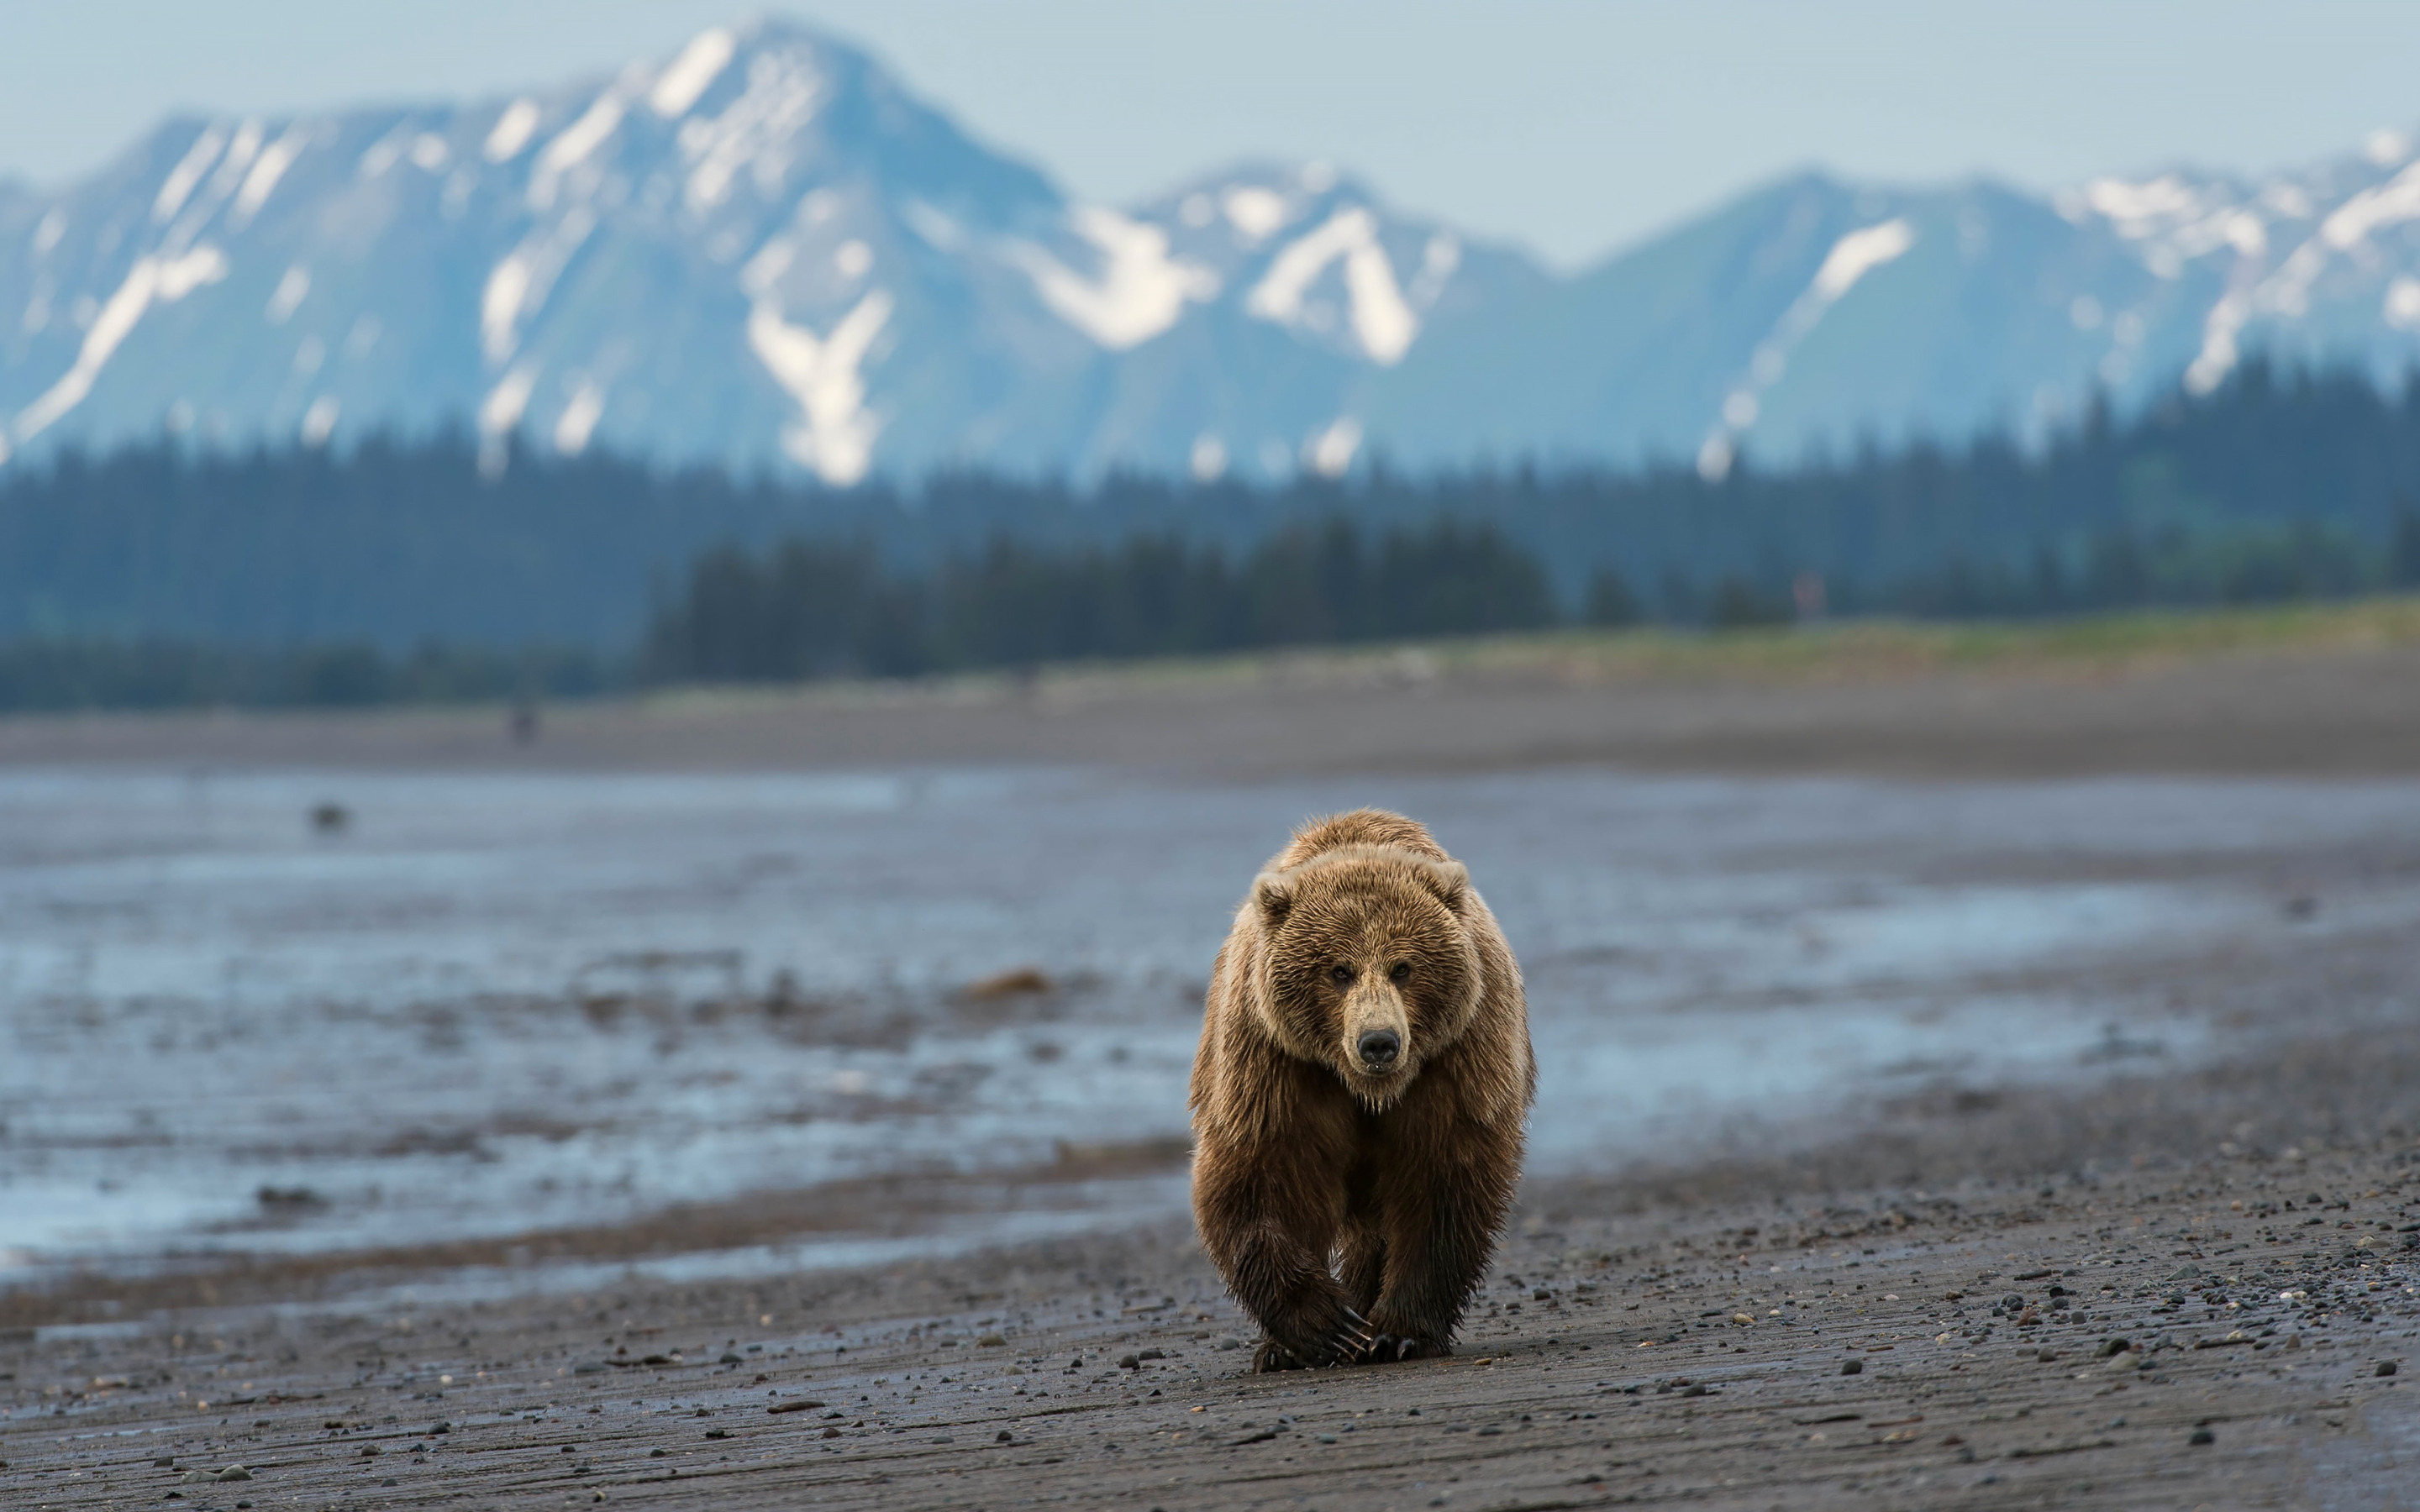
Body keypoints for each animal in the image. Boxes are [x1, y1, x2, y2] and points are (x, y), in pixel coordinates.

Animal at [1186, 812, 1529, 1364]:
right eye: (1339, 970)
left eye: (1403, 967)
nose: (1379, 1043)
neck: (1367, 1090)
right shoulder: (1275, 1063)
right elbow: (1262, 1172)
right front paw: (1324, 1325)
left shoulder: (1456, 1058)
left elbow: (1441, 1179)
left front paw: (1398, 1331)